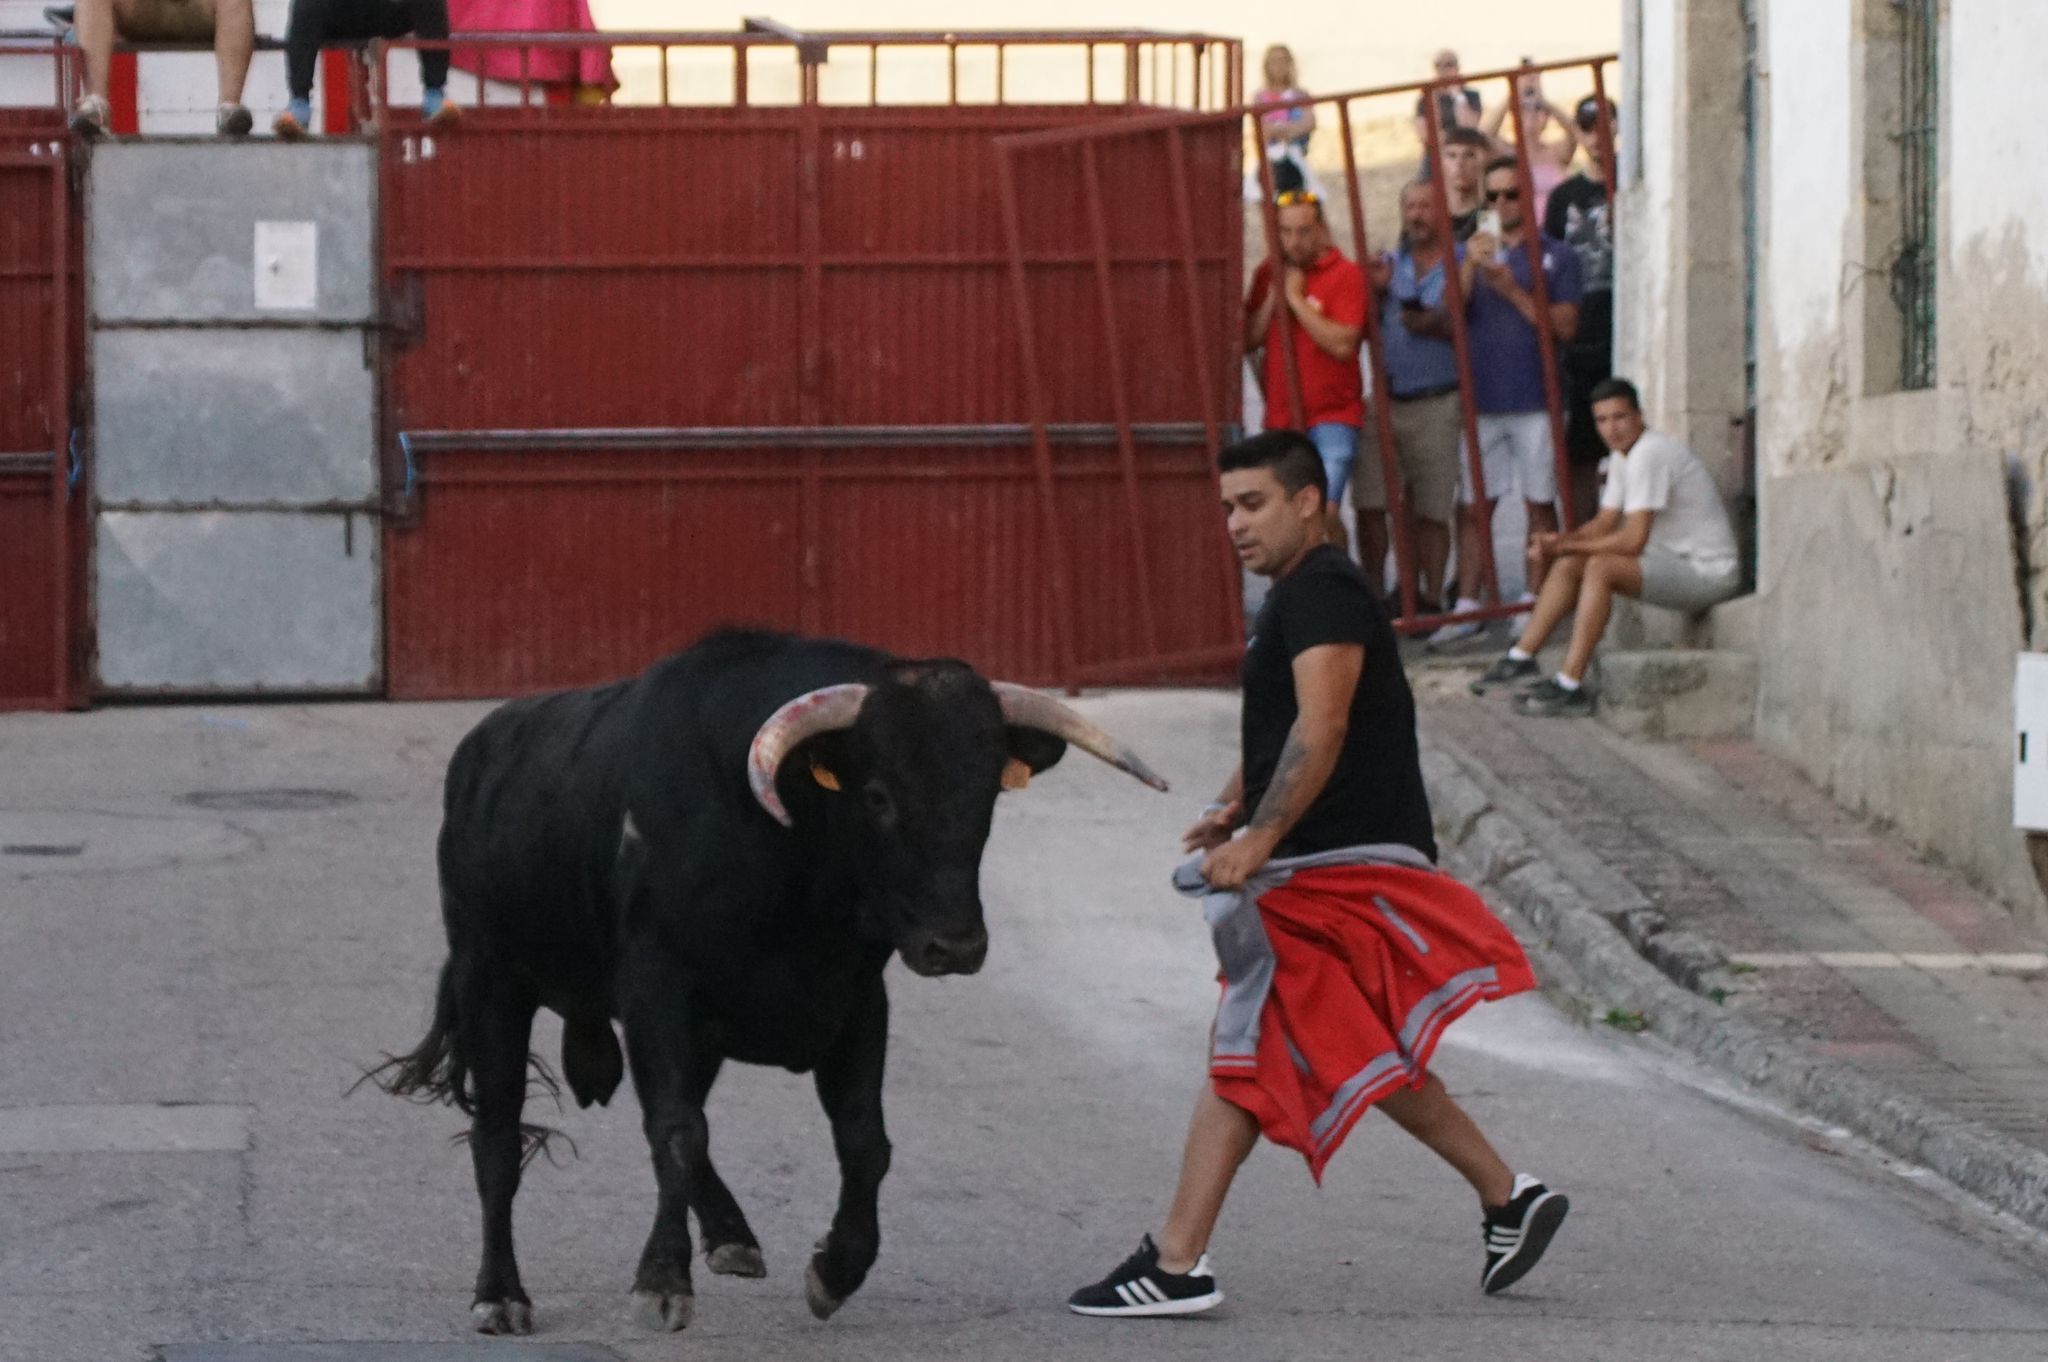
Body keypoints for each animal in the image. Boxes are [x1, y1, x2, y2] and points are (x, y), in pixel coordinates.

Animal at [372, 630, 1171, 1335]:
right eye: (877, 795)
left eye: (987, 798)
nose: (955, 944)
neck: (794, 866)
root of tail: (480, 754)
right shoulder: (658, 993)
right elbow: (675, 1131)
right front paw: (661, 1283)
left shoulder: (856, 1004)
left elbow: (862, 1141)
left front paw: (836, 1271)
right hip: (489, 982)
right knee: (499, 1143)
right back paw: (500, 1296)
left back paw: (731, 1235)